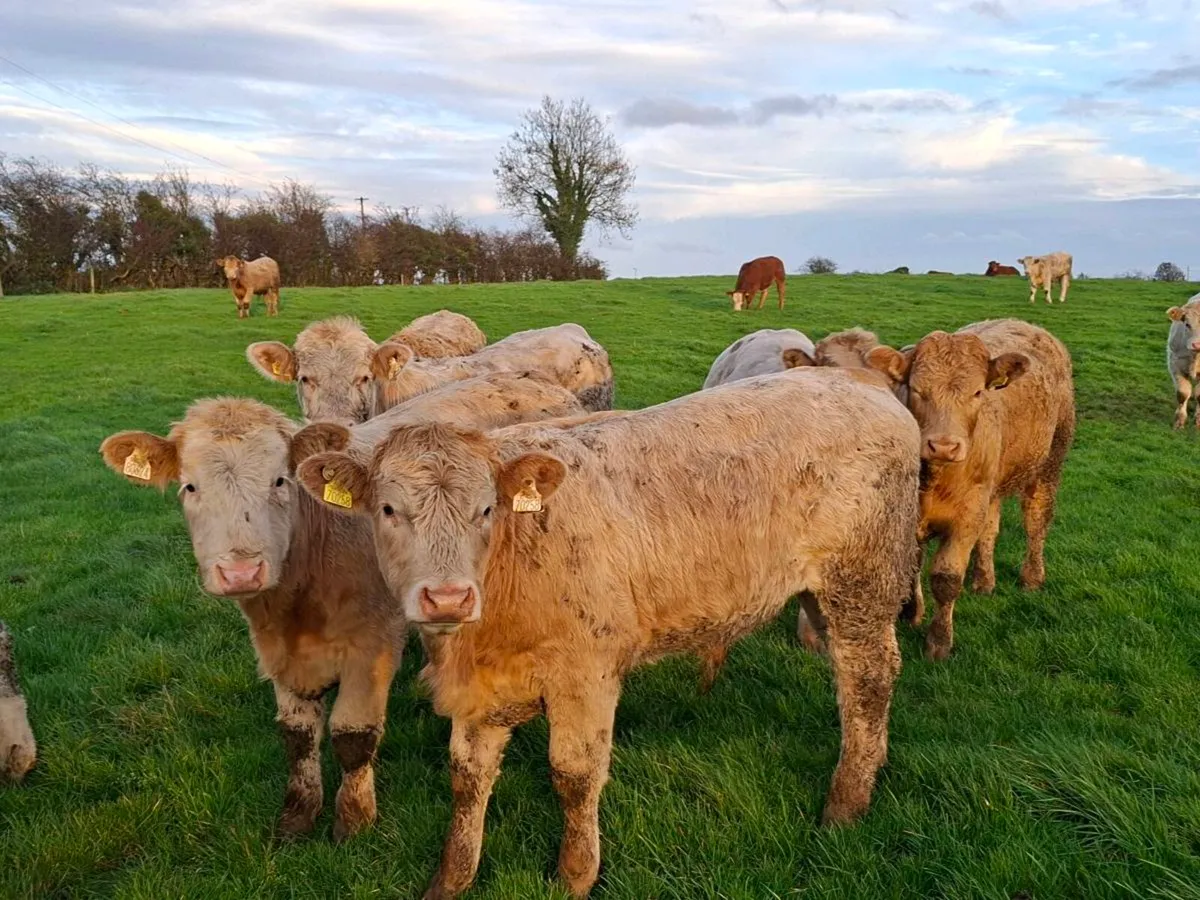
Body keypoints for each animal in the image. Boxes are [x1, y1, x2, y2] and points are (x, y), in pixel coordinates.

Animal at [98, 374, 586, 840]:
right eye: (189, 486)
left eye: (280, 481)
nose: (241, 572)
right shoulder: (278, 654)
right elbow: (296, 736)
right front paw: (297, 815)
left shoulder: (372, 646)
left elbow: (353, 736)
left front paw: (353, 820)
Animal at [296, 368, 921, 898]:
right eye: (388, 510)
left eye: (486, 509)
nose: (448, 596)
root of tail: (855, 380)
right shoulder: (484, 687)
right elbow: (467, 779)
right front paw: (451, 878)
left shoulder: (586, 674)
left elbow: (574, 775)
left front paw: (575, 874)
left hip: (861, 583)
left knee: (867, 680)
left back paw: (845, 802)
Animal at [866, 319, 1075, 660]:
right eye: (917, 390)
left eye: (977, 392)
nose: (943, 445)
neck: (934, 479)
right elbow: (911, 564)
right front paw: (910, 612)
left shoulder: (966, 516)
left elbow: (946, 579)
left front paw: (938, 641)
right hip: (991, 489)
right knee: (990, 531)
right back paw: (983, 580)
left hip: (1049, 463)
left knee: (1036, 520)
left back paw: (1031, 577)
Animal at [1166, 294, 1200, 429]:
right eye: (1187, 324)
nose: (1197, 344)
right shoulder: (1175, 364)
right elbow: (1183, 393)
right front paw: (1179, 421)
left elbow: (1199, 394)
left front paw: (1198, 421)